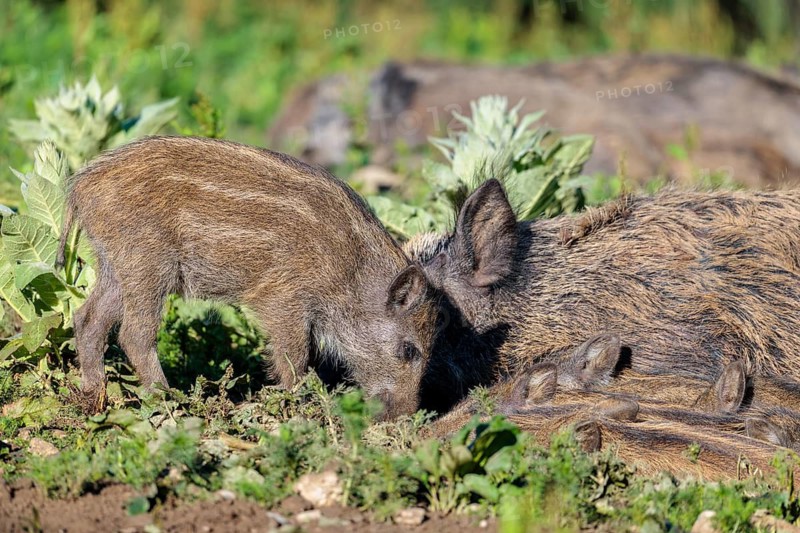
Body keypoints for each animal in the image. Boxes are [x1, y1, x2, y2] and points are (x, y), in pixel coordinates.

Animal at [58, 136, 441, 417]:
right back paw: (171, 402)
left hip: (115, 267)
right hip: (147, 266)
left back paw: (94, 397)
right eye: (409, 350)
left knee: (88, 320)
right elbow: (295, 355)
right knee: (134, 335)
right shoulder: (284, 299)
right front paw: (299, 406)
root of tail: (80, 187)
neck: (352, 271)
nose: (406, 416)